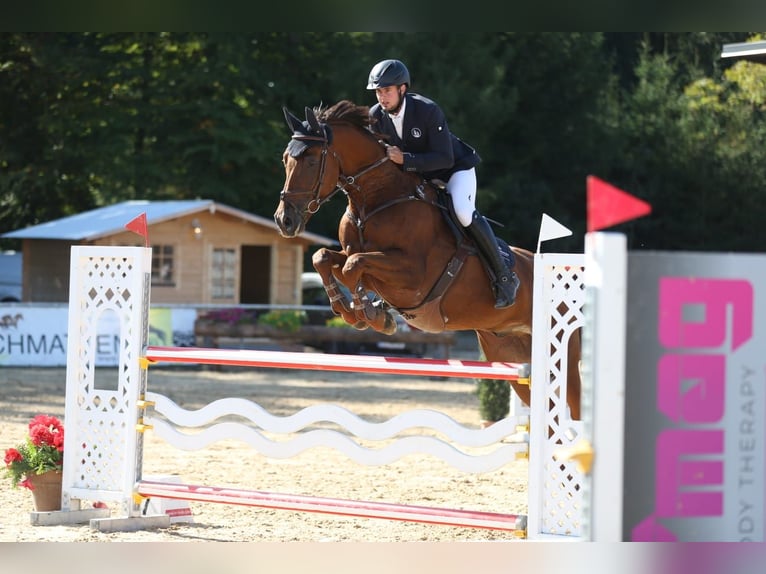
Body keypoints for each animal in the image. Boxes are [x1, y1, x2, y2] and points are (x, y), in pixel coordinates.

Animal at [274, 101, 584, 420]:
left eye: (311, 161)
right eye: (285, 159)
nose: (285, 221)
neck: (375, 201)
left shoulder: (414, 277)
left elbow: (354, 266)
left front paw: (365, 312)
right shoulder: (357, 257)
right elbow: (325, 258)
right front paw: (358, 310)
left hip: (563, 353)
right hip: (508, 351)